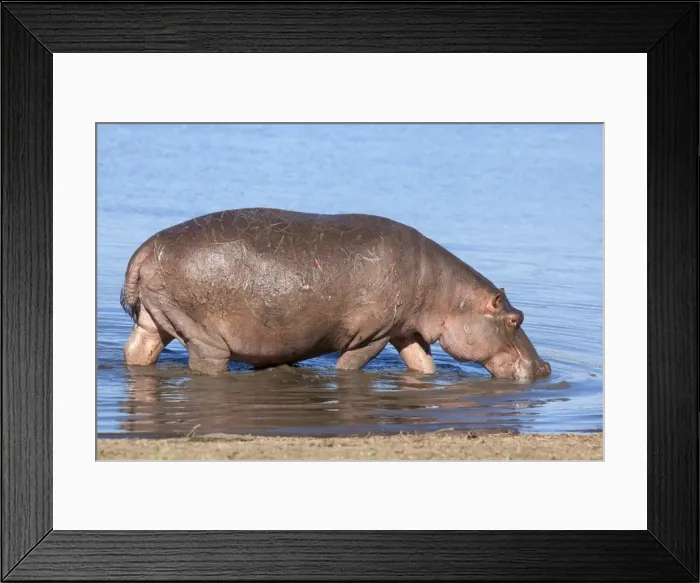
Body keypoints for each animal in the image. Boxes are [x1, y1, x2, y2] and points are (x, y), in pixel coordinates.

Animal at [121, 208, 551, 380]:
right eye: (516, 319)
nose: (545, 367)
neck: (450, 295)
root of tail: (144, 249)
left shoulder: (405, 331)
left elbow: (423, 366)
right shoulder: (375, 335)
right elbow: (350, 365)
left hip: (157, 318)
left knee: (138, 350)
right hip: (205, 337)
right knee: (207, 362)